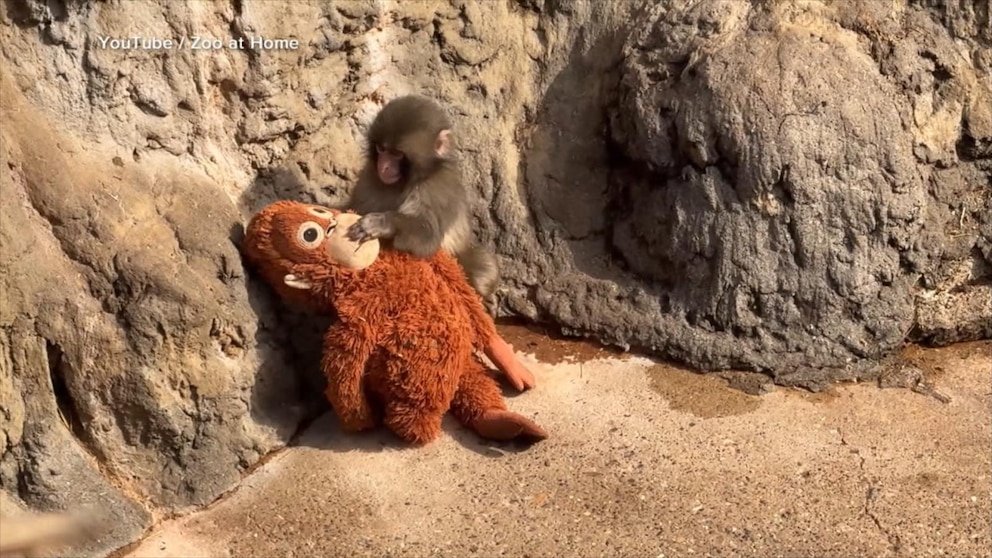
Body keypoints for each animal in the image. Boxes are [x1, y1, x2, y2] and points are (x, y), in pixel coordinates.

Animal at [344, 95, 500, 307]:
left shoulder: (435, 188)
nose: (383, 167)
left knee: (484, 267)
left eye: (397, 154)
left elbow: (428, 235)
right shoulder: (368, 176)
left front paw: (382, 222)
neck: (403, 181)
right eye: (381, 149)